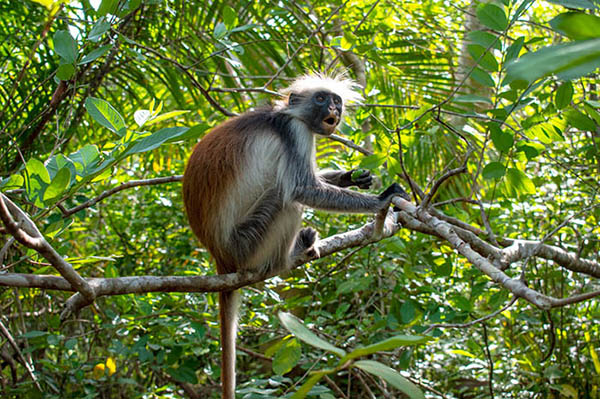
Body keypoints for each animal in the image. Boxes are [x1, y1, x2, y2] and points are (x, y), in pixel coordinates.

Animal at [183, 73, 408, 398]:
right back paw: (291, 254)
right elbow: (302, 189)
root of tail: (219, 256)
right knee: (285, 197)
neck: (286, 114)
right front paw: (382, 199)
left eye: (336, 101)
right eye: (321, 99)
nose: (334, 109)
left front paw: (351, 177)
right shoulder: (294, 133)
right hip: (247, 244)